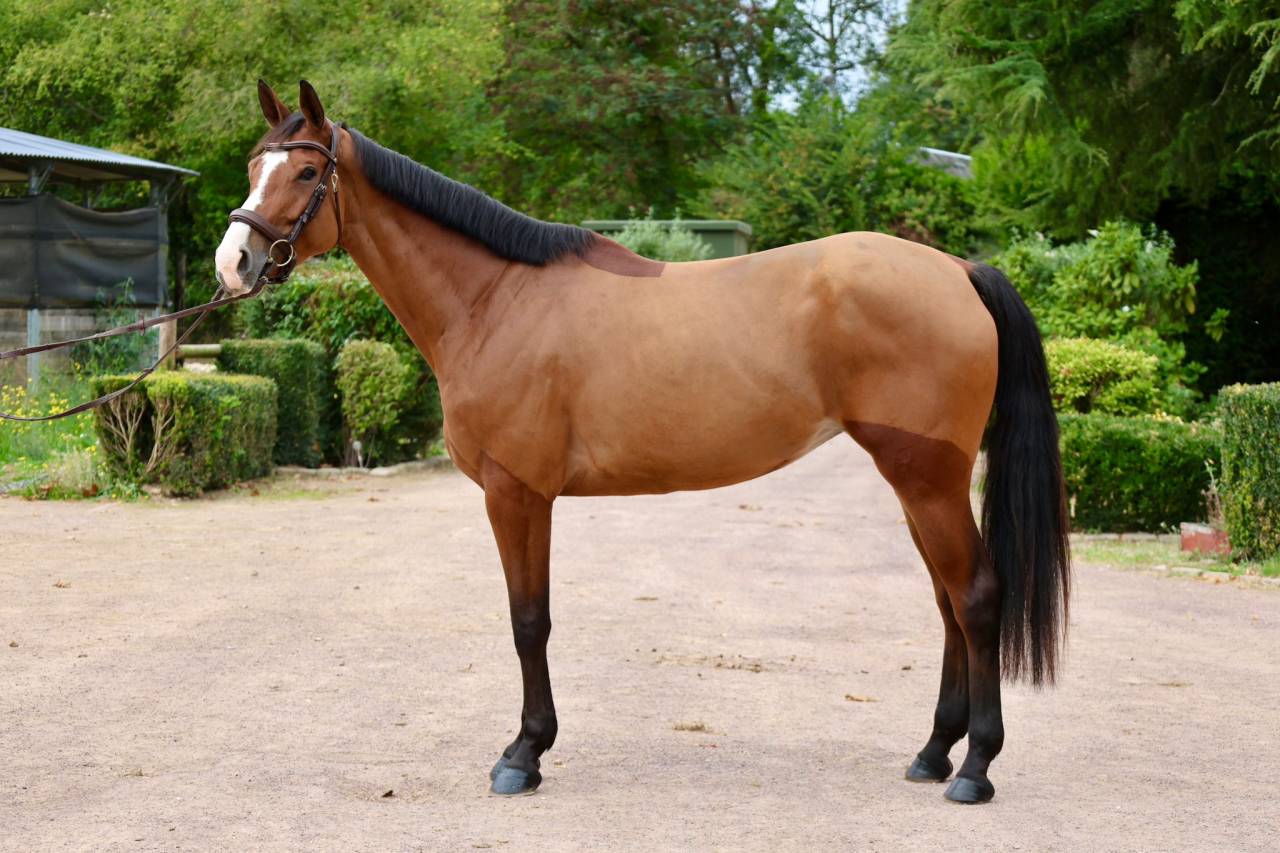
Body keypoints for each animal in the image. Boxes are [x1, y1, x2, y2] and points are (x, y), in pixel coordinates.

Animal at [215, 80, 1070, 804]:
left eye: (305, 172)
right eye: (254, 165)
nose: (234, 262)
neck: (495, 299)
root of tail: (958, 270)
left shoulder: (516, 493)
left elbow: (529, 620)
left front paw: (523, 754)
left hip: (926, 475)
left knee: (975, 598)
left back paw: (976, 766)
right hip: (916, 480)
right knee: (948, 603)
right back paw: (932, 753)